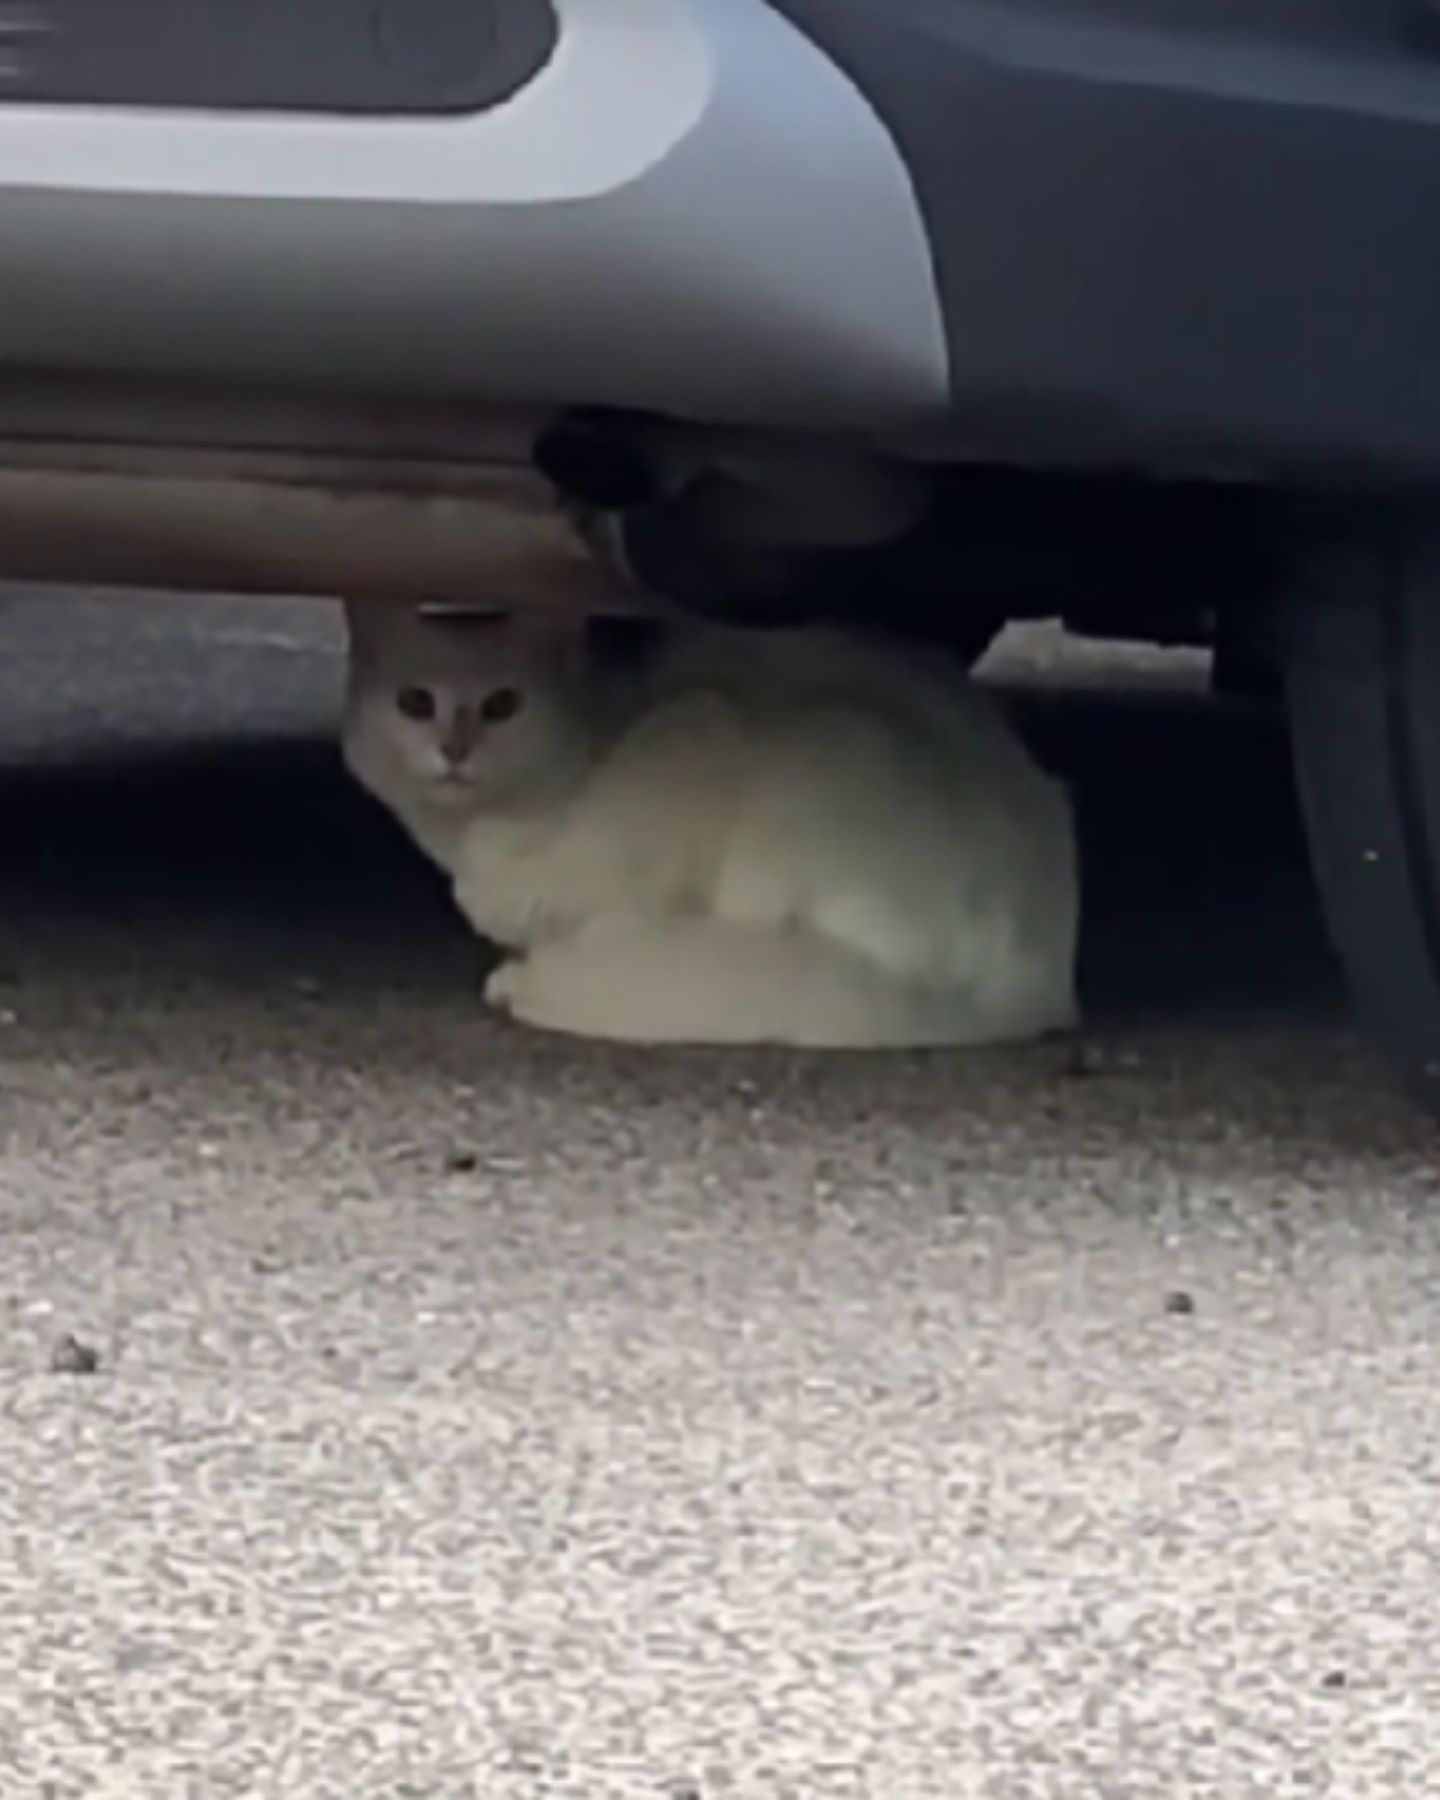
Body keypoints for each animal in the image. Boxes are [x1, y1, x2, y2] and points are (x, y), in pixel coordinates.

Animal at [343, 608, 1072, 1051]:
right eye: (414, 702)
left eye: (502, 705)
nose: (454, 749)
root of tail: (1038, 987)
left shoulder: (693, 733)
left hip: (821, 754)